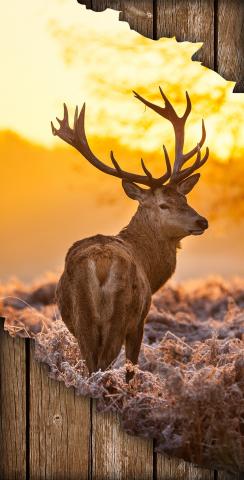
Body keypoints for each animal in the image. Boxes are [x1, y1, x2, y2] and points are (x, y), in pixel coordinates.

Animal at [51, 88, 208, 380]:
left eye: (185, 197)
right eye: (164, 204)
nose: (202, 221)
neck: (150, 267)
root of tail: (100, 263)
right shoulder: (140, 321)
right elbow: (131, 369)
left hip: (82, 320)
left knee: (91, 366)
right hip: (120, 315)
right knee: (103, 366)